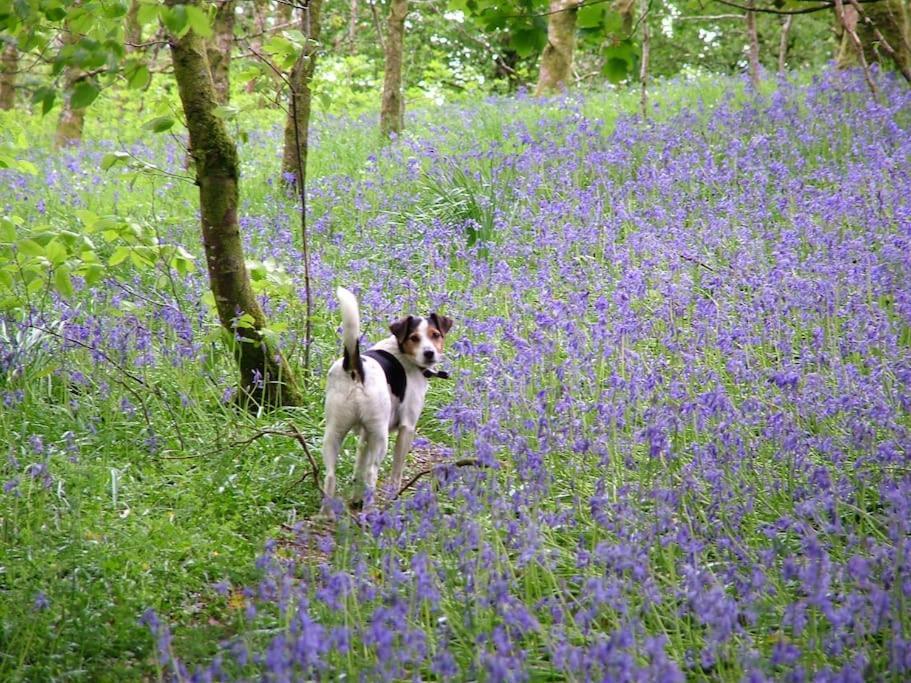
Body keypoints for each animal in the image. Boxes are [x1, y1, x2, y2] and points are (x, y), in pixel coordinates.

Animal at [322, 286, 454, 516]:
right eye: (414, 338)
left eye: (435, 335)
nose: (429, 353)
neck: (401, 351)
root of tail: (355, 367)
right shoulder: (407, 427)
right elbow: (396, 470)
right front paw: (394, 496)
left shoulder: (366, 434)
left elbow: (358, 466)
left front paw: (356, 499)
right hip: (381, 437)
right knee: (371, 473)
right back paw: (369, 510)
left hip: (334, 432)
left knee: (330, 475)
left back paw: (326, 513)